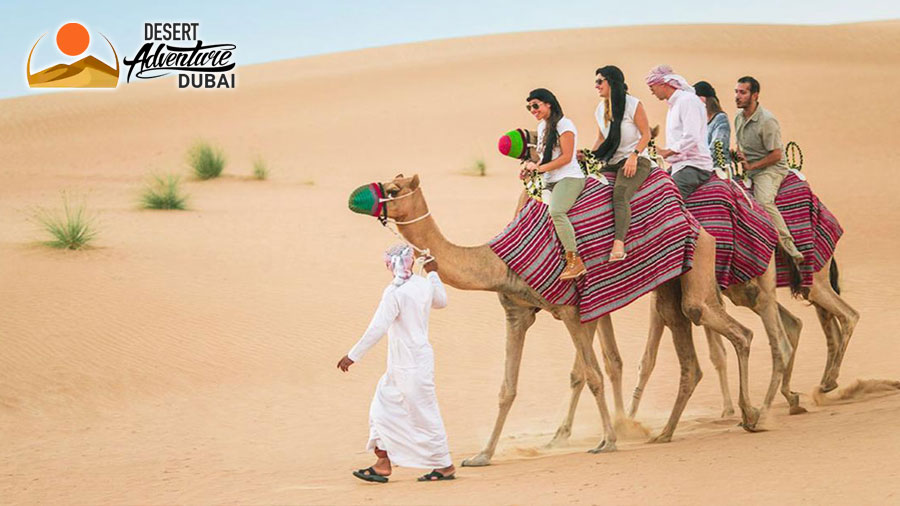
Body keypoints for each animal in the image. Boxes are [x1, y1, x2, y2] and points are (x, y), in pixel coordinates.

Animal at [358, 173, 762, 467]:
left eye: (393, 189)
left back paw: (750, 414)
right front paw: (482, 455)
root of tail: (690, 214)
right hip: (669, 284)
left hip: (699, 263)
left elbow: (594, 375)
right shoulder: (517, 313)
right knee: (691, 349)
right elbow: (507, 388)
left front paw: (608, 441)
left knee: (731, 328)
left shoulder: (571, 311)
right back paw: (669, 431)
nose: (358, 197)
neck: (497, 261)